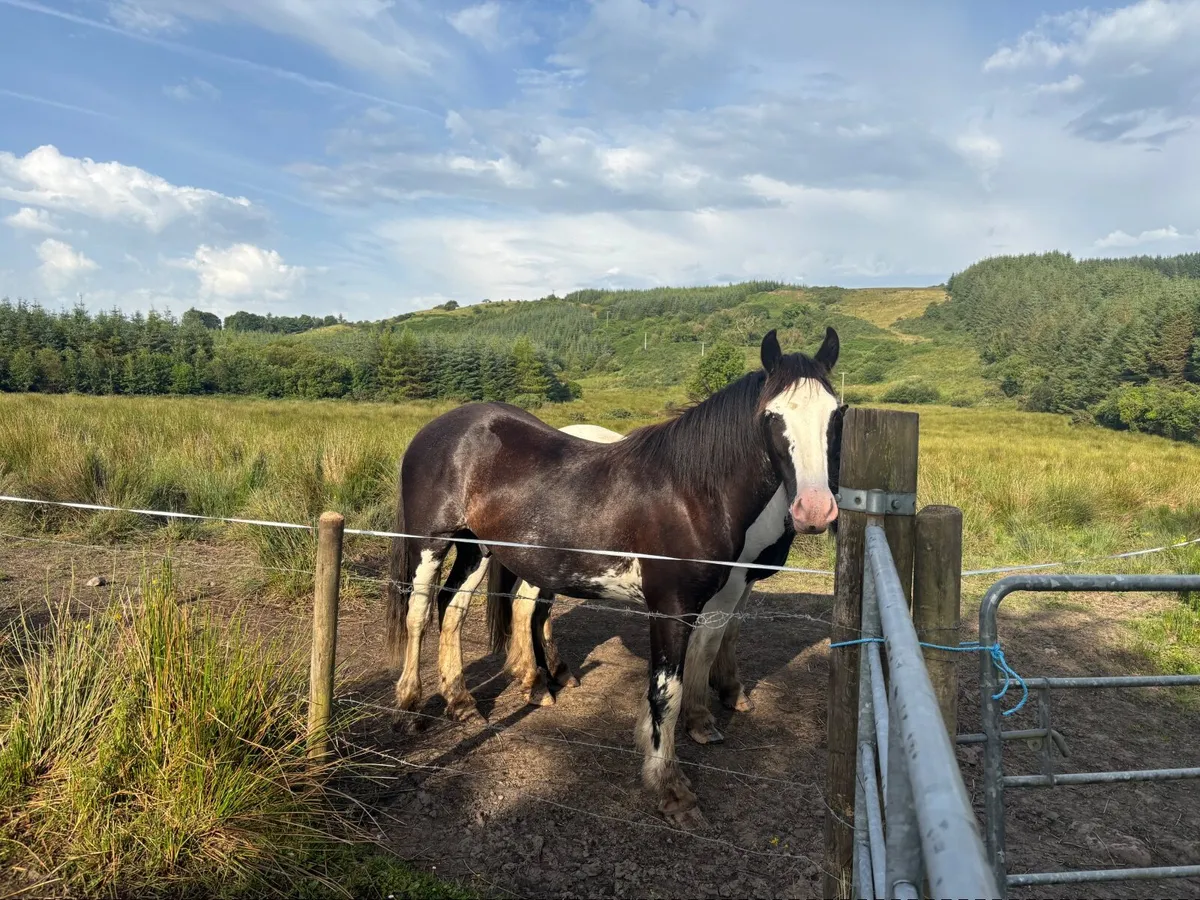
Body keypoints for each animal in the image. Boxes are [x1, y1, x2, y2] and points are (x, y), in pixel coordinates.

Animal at [384, 327, 842, 826]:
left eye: (836, 413)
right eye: (772, 415)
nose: (815, 510)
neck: (692, 494)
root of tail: (443, 427)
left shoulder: (717, 600)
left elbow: (697, 664)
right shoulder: (671, 609)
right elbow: (666, 692)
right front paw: (671, 788)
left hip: (477, 547)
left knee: (452, 610)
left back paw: (462, 702)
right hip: (430, 541)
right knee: (418, 612)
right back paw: (410, 707)